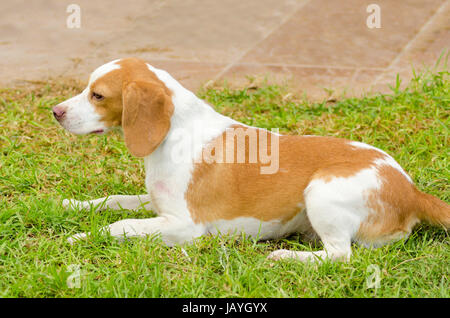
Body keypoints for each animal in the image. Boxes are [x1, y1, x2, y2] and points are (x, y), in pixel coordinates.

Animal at [53, 58, 450, 262]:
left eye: (97, 95)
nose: (55, 112)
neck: (173, 133)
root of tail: (412, 191)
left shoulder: (185, 227)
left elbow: (120, 225)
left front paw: (79, 236)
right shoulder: (155, 203)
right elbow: (112, 201)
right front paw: (71, 205)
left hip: (321, 191)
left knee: (340, 256)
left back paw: (287, 257)